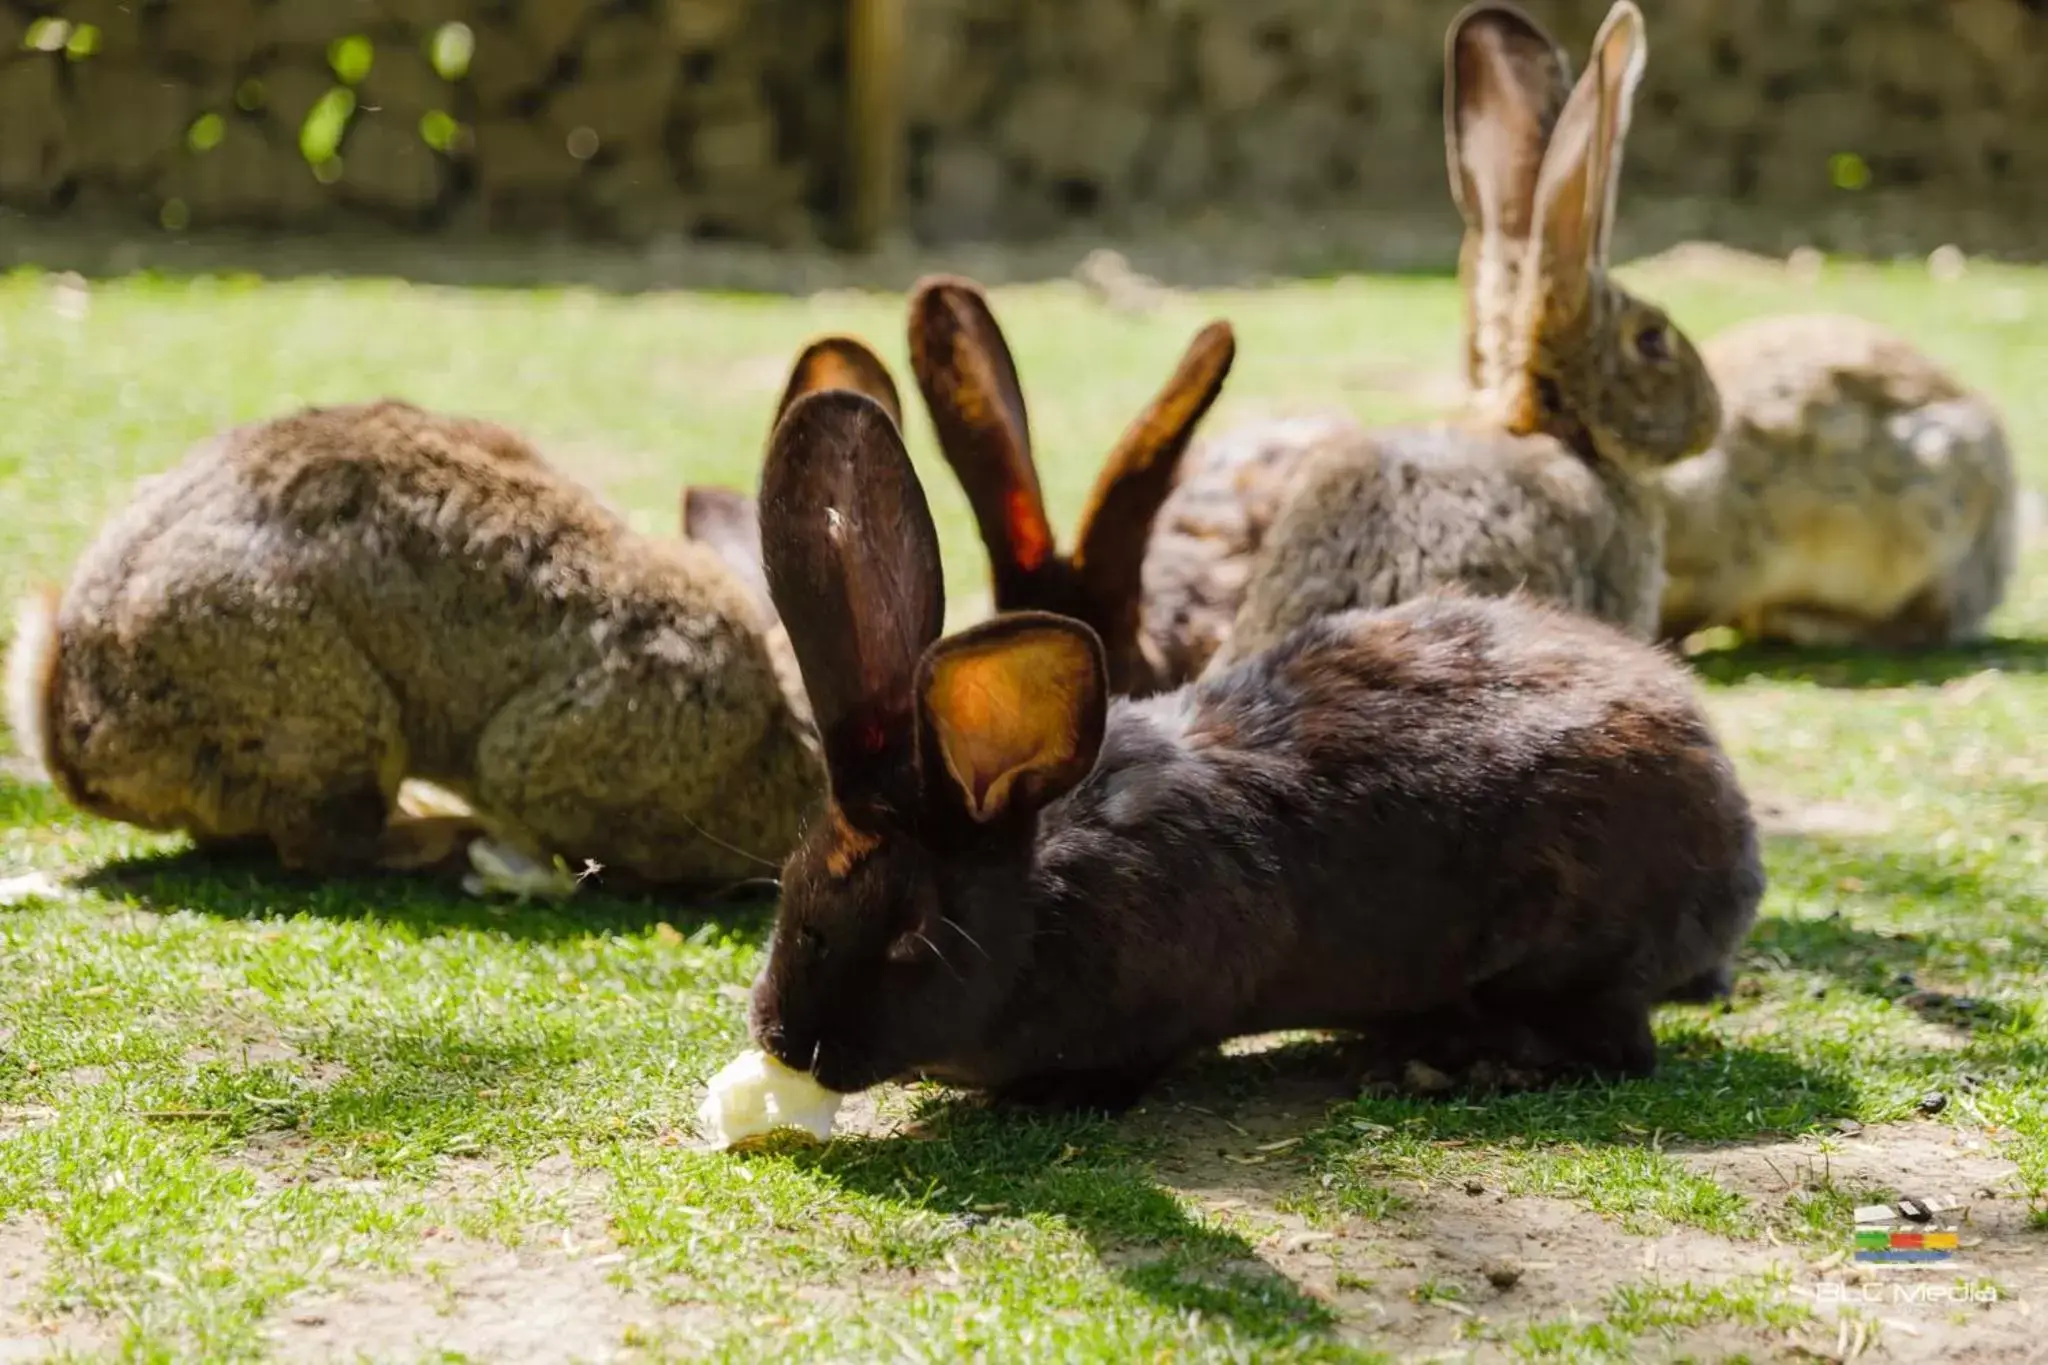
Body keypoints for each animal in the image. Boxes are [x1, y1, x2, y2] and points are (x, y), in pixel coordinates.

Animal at [745, 384, 1769, 1113]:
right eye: (788, 892)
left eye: (912, 933)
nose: (781, 1039)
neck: (1040, 895)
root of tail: (1736, 839)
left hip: (1572, 957)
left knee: (1622, 1049)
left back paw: (1461, 1063)